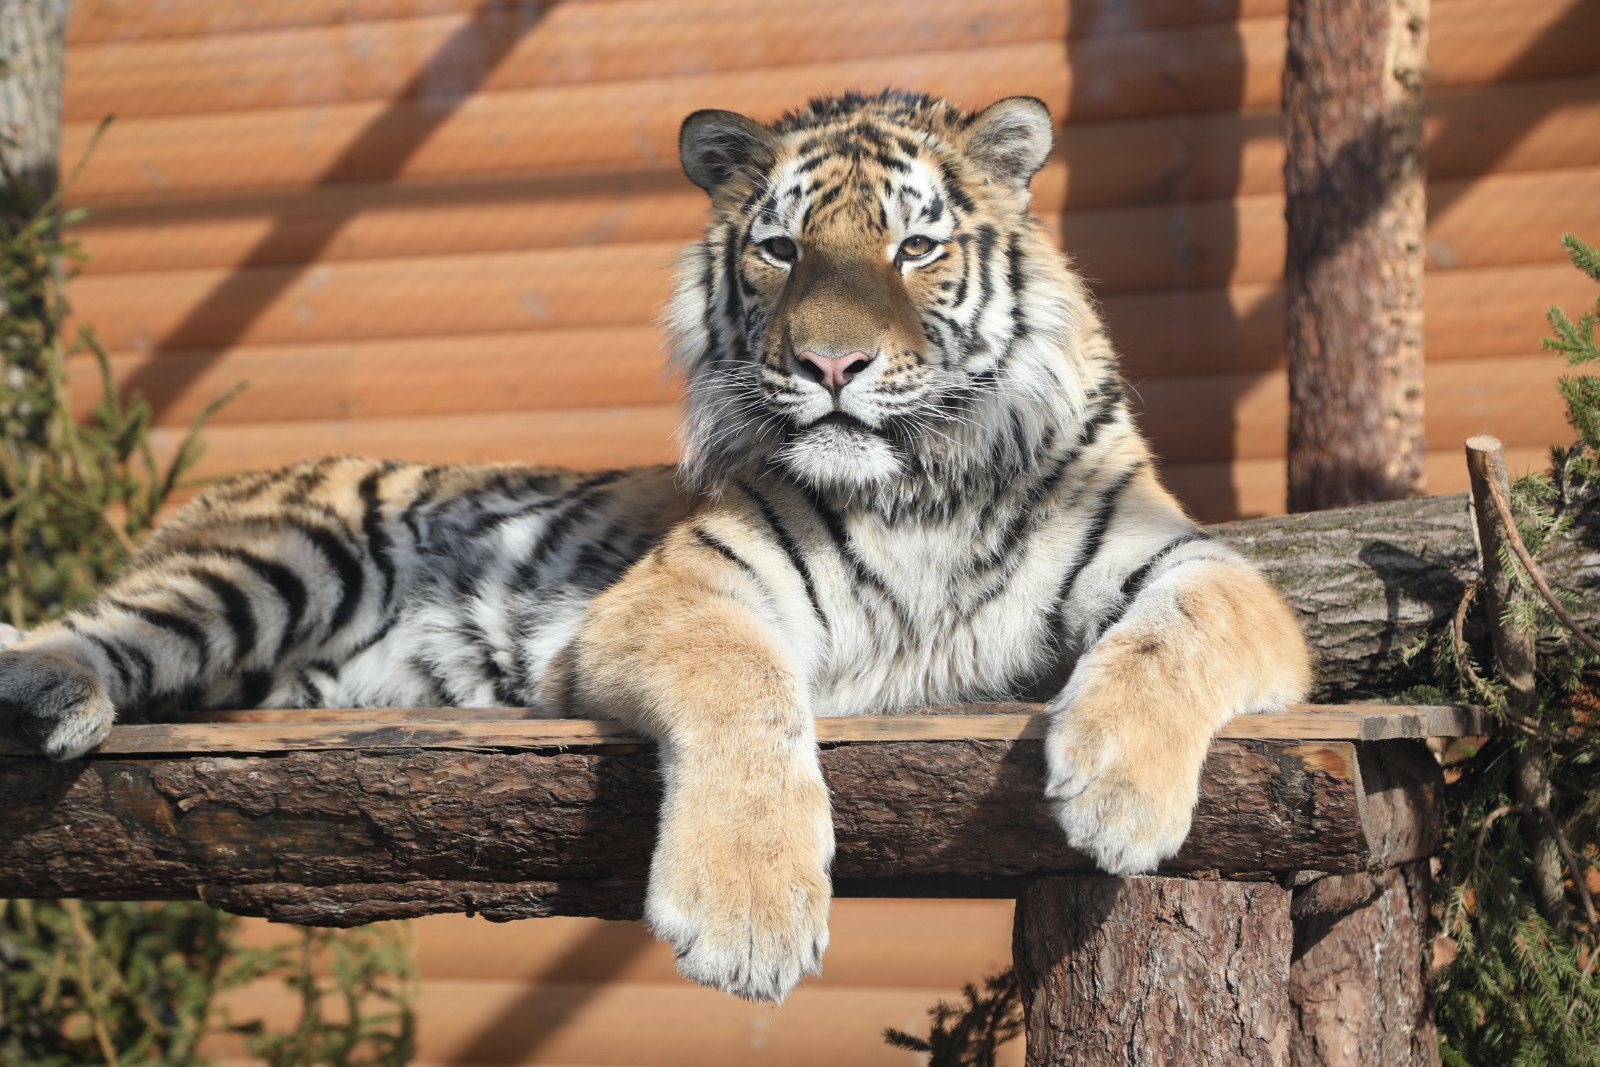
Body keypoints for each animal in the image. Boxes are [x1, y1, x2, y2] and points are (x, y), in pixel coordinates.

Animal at [0, 87, 1305, 1004]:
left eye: (913, 249)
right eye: (780, 250)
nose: (831, 364)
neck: (918, 485)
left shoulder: (1190, 560)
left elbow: (1182, 628)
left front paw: (1118, 793)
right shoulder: (688, 589)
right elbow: (748, 691)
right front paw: (745, 919)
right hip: (286, 554)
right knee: (89, 625)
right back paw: (47, 691)